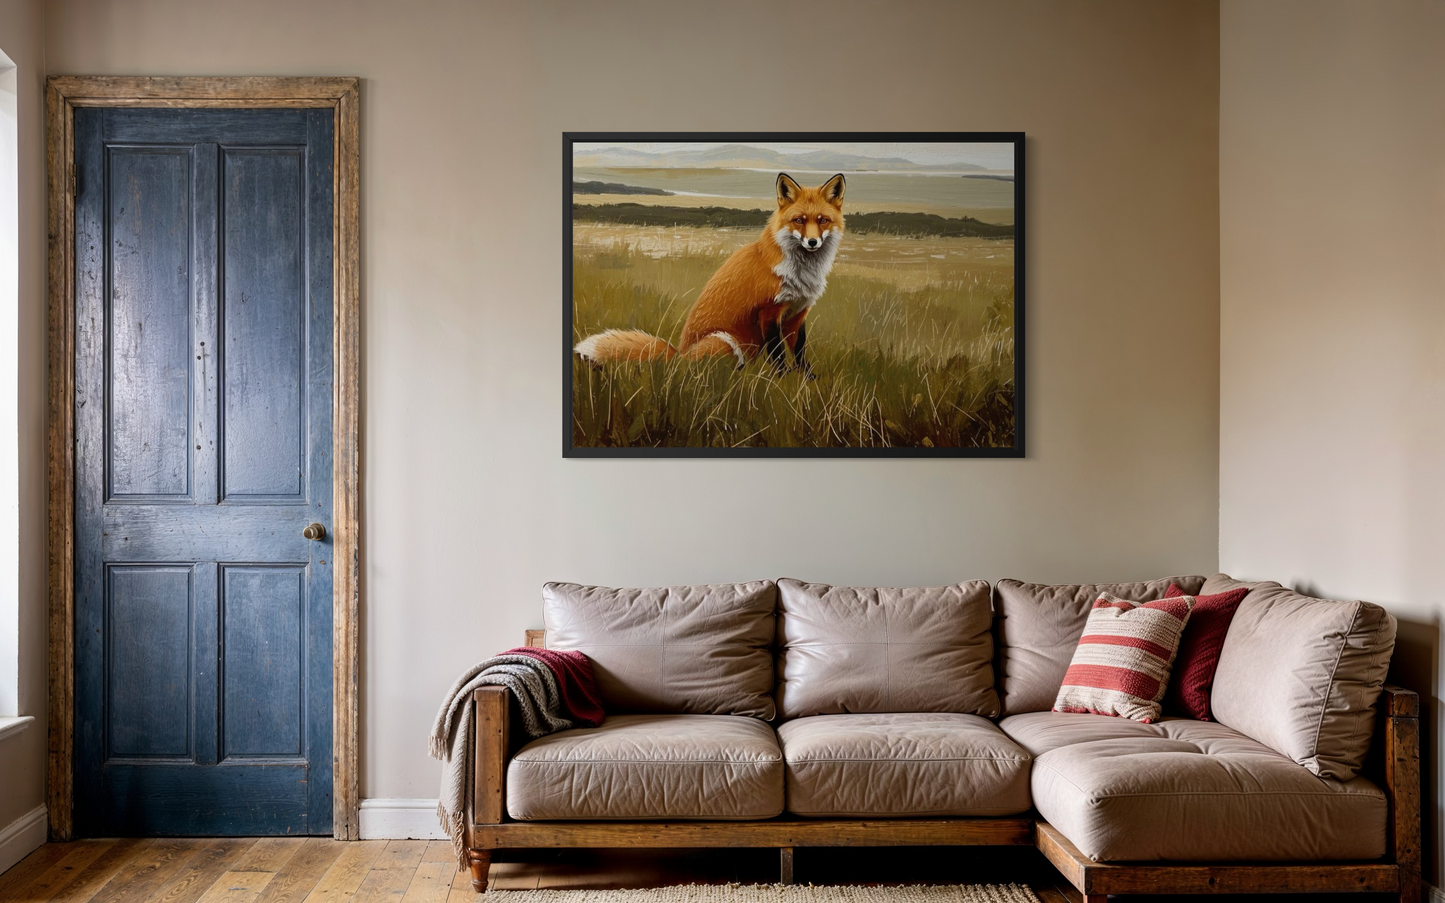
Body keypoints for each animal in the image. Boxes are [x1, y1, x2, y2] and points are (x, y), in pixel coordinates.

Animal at [573, 172, 846, 378]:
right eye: (799, 220)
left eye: (822, 220)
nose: (812, 242)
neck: (801, 272)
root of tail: (678, 355)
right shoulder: (769, 312)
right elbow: (777, 353)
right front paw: (782, 379)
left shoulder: (798, 312)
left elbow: (799, 351)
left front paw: (807, 378)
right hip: (724, 342)